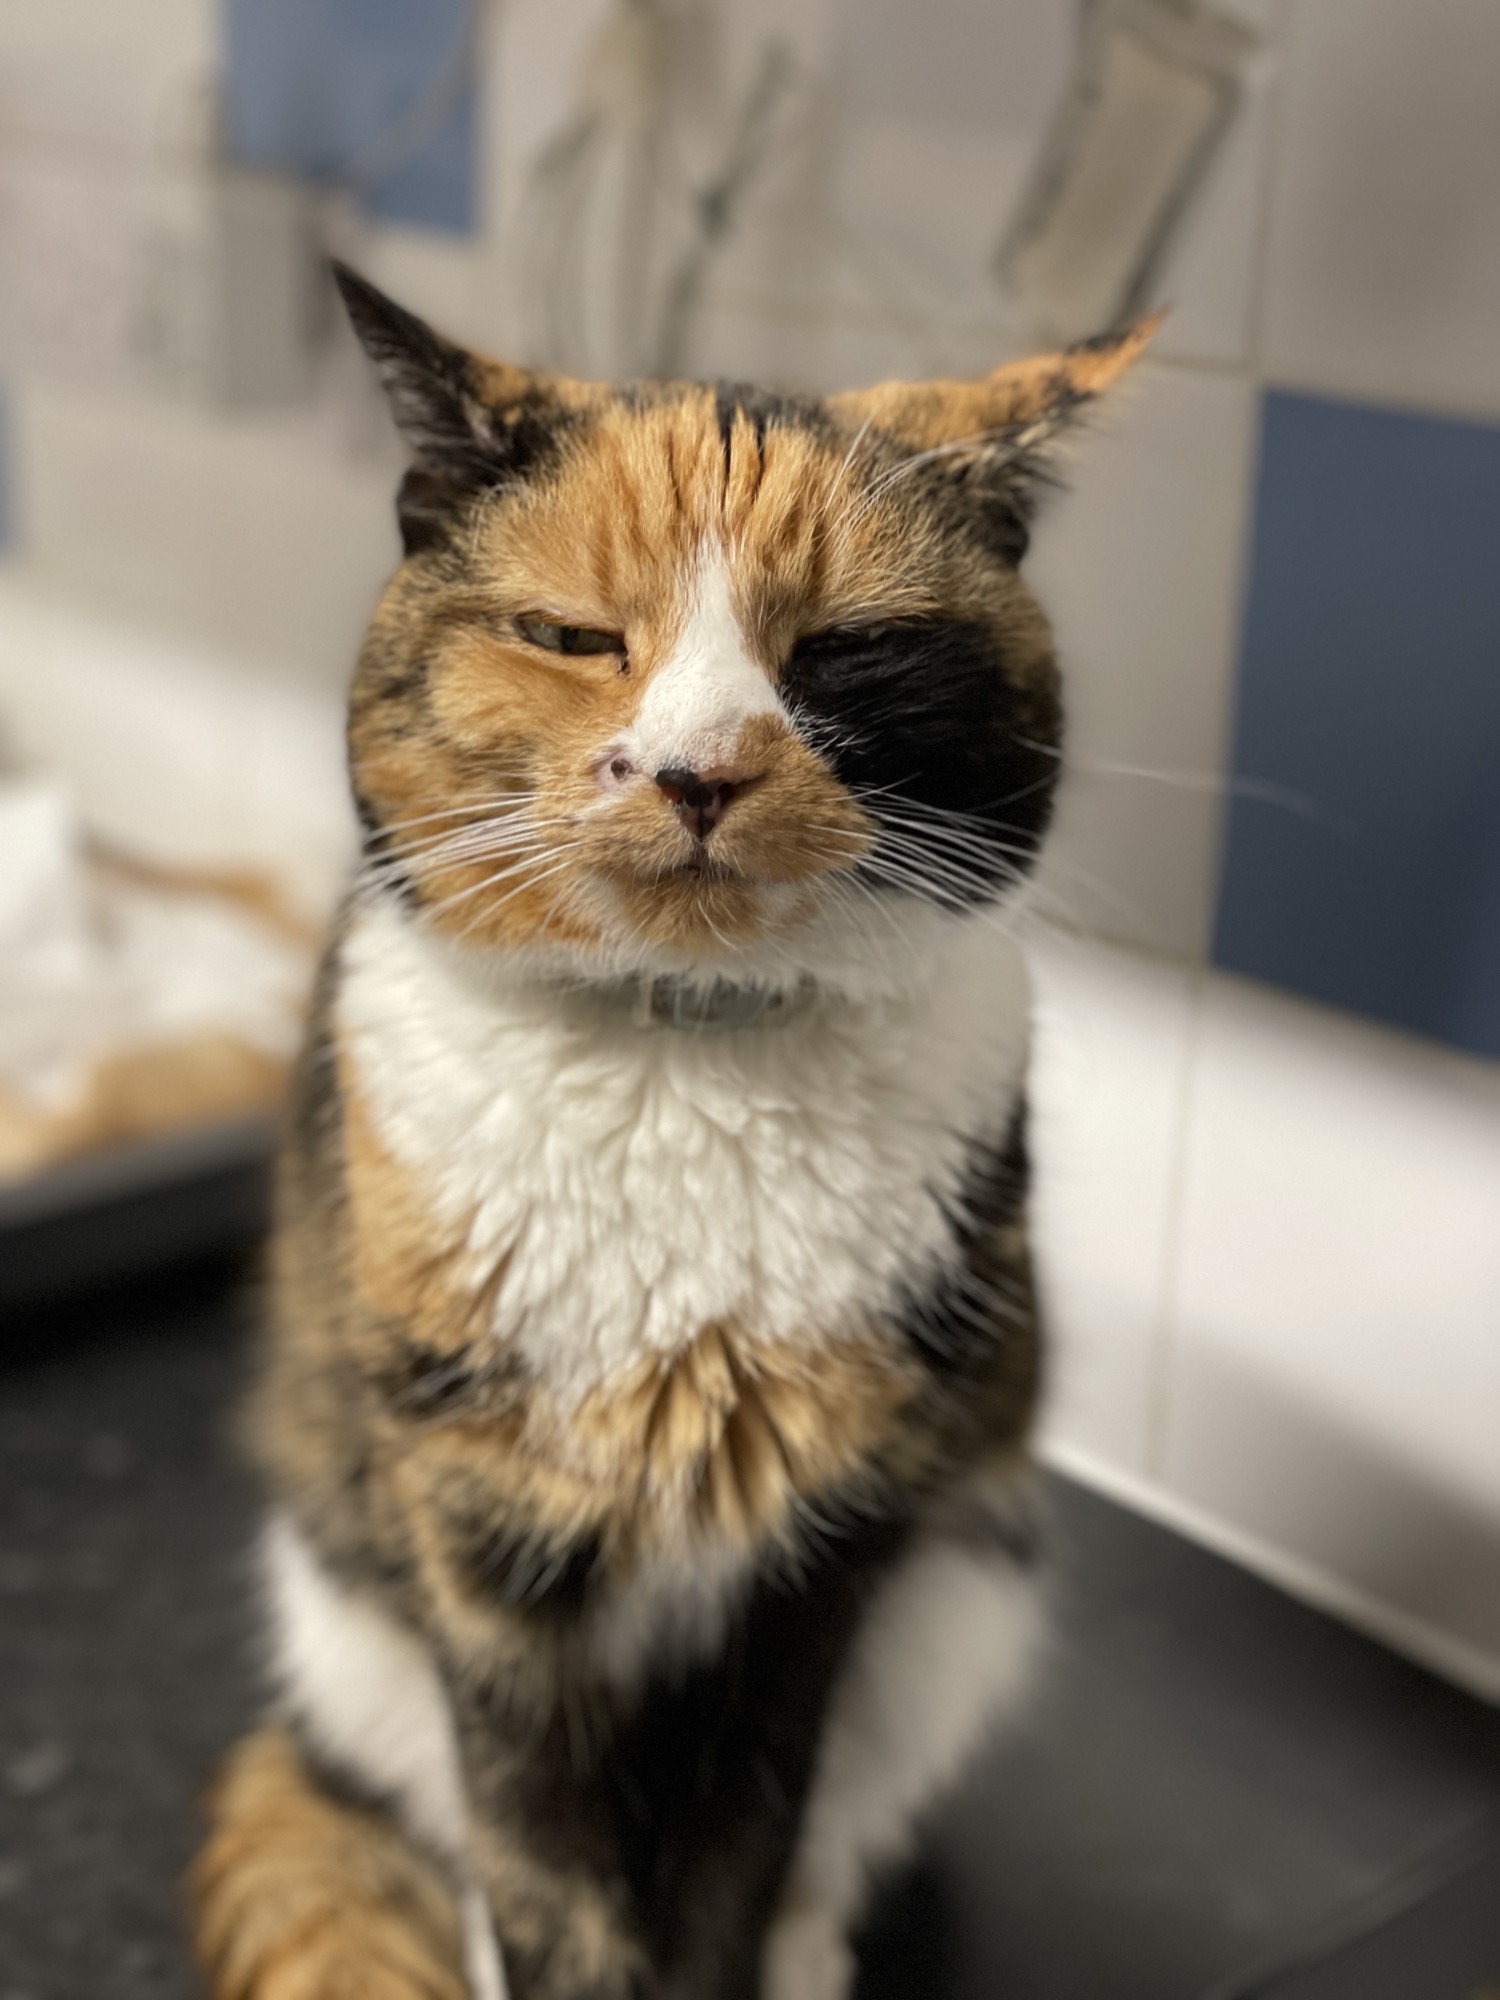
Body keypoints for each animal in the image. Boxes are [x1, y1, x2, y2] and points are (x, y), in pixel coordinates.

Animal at [190, 264, 1151, 2000]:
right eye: (574, 636)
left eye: (847, 651)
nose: (698, 771)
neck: (683, 1056)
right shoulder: (479, 1525)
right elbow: (536, 1853)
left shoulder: (822, 1549)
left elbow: (740, 1844)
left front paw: (730, 1945)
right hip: (345, 1621)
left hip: (956, 1605)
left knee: (833, 1842)